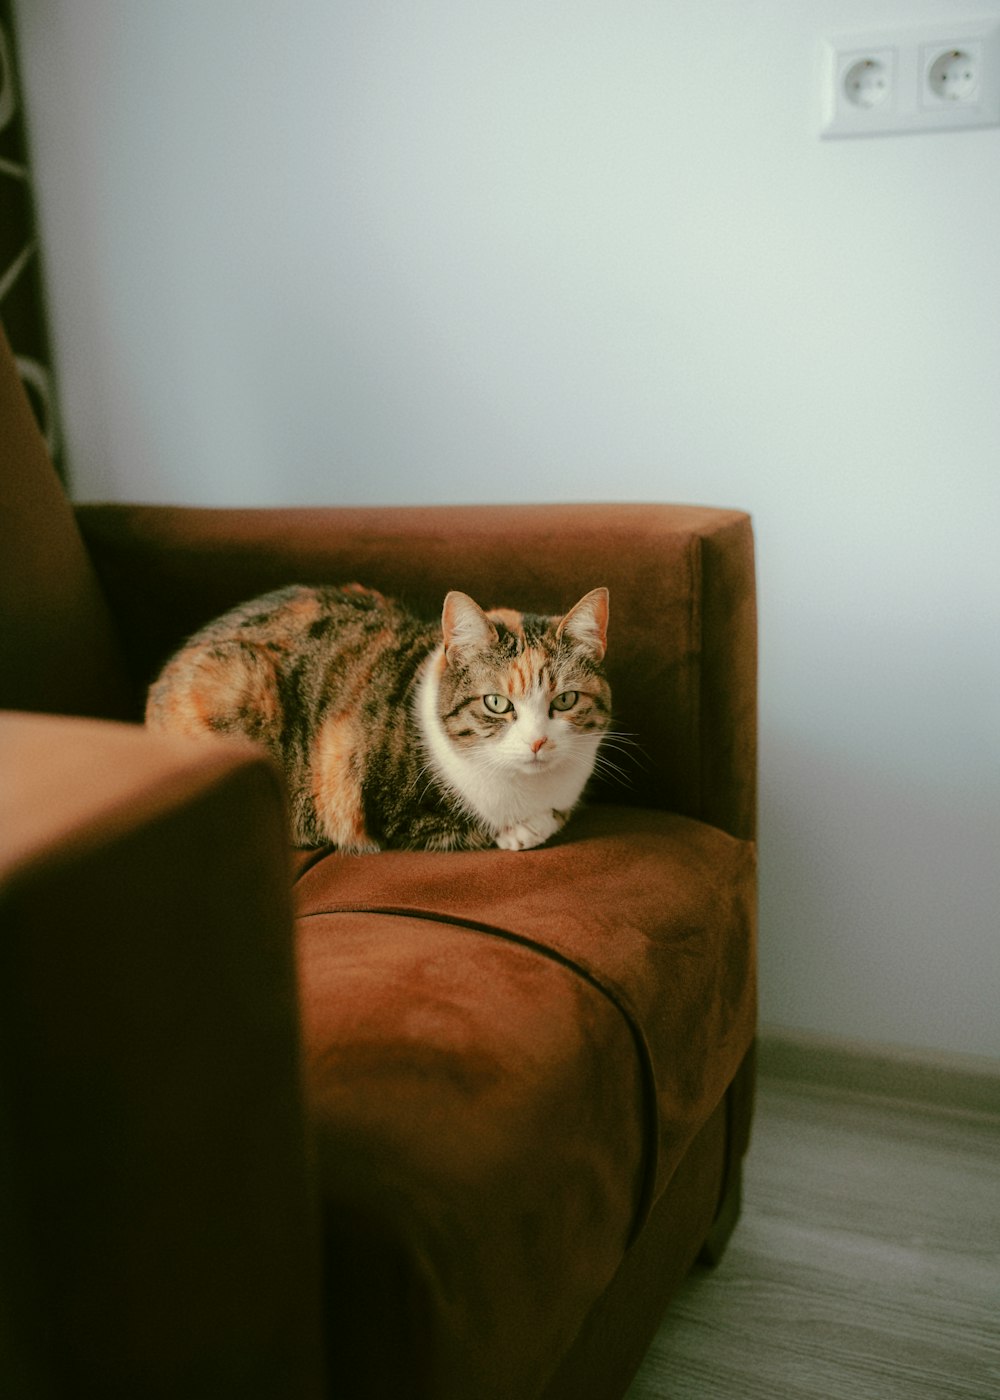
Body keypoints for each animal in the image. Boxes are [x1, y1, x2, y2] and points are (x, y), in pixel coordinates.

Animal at [144, 582, 610, 851]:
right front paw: (523, 830)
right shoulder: (385, 808)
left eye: (566, 700)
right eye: (496, 703)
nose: (538, 742)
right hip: (236, 681)